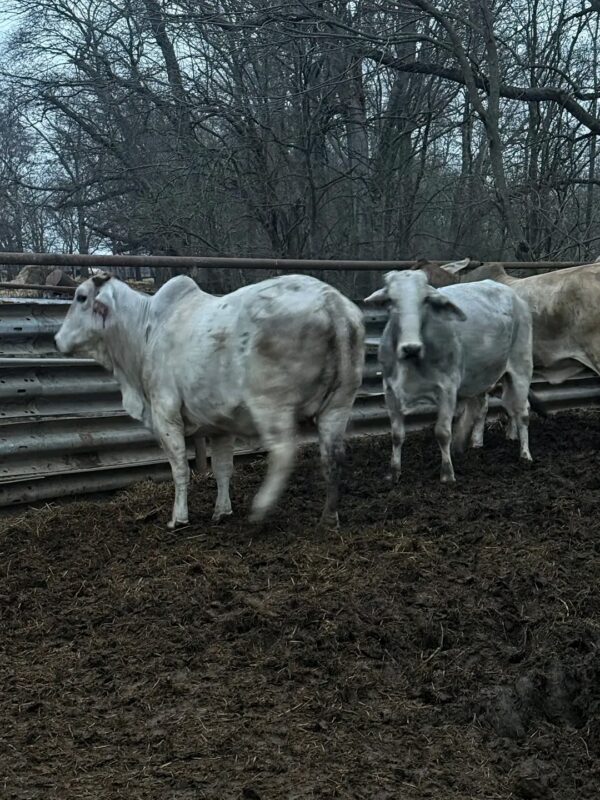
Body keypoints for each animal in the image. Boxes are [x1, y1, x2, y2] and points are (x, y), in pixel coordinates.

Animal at [55, 272, 365, 530]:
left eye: (81, 297)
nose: (57, 339)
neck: (144, 332)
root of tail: (332, 302)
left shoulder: (165, 414)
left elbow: (180, 468)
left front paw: (178, 518)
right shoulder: (220, 426)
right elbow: (223, 468)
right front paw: (222, 511)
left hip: (271, 405)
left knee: (283, 452)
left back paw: (261, 508)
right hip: (338, 405)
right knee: (333, 456)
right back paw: (329, 518)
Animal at [364, 270, 533, 483]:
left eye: (425, 300)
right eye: (391, 301)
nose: (410, 347)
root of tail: (515, 296)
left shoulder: (447, 389)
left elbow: (443, 432)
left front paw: (447, 474)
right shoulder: (390, 390)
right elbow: (396, 434)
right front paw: (394, 473)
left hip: (521, 369)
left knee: (522, 411)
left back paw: (525, 455)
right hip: (481, 376)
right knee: (484, 409)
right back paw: (477, 443)